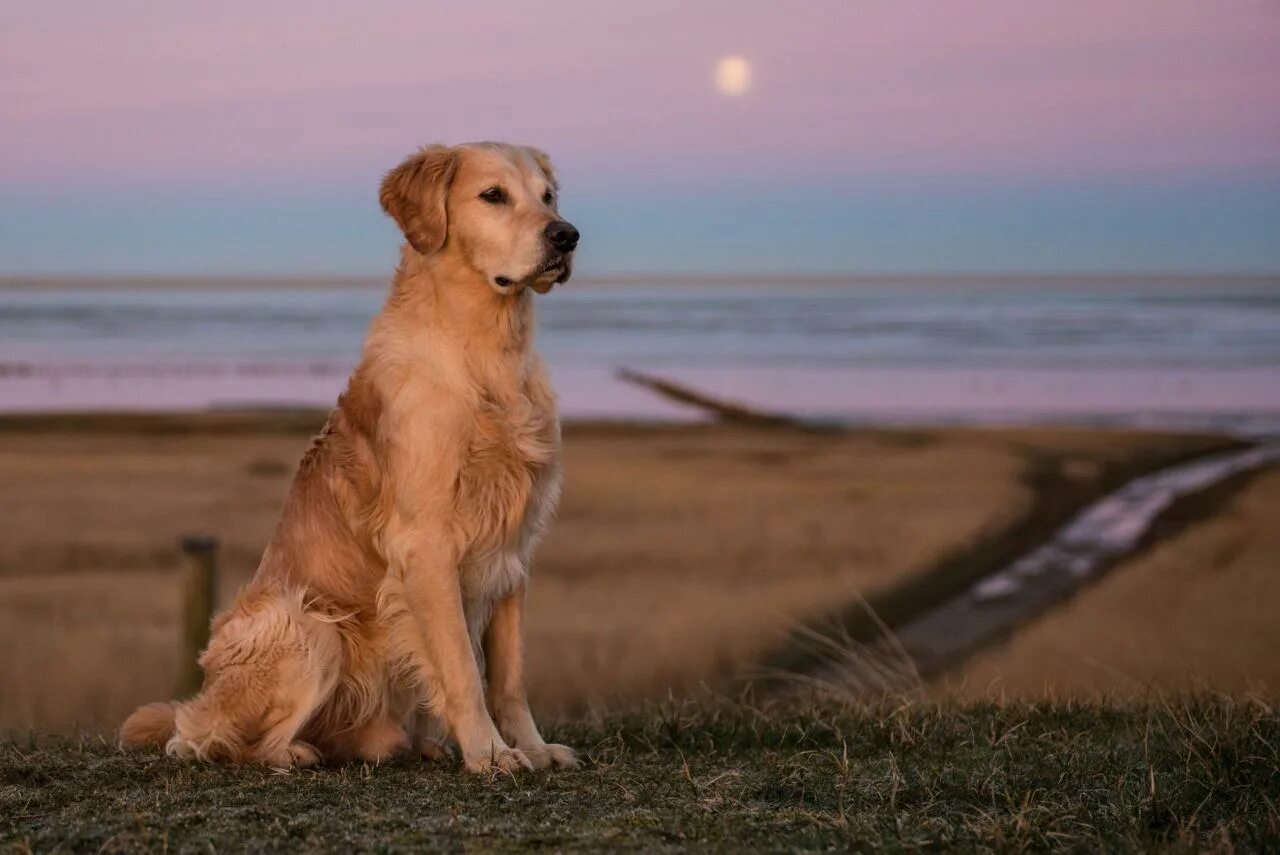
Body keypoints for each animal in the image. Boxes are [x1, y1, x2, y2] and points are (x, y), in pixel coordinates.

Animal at [120, 142, 581, 773]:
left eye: (549, 196)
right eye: (493, 196)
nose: (567, 235)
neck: (489, 353)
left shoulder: (514, 546)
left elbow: (509, 676)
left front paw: (531, 748)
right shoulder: (426, 542)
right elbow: (463, 667)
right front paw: (489, 753)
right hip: (309, 625)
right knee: (208, 739)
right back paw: (294, 752)